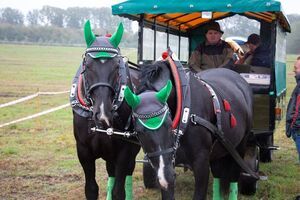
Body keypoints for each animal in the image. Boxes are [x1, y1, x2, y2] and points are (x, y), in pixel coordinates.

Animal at [71, 20, 140, 200]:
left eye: (116, 66)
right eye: (87, 65)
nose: (103, 113)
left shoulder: (124, 150)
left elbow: (118, 191)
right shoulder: (83, 151)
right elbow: (91, 189)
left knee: (128, 170)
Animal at [125, 61, 254, 200]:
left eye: (169, 124)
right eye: (138, 132)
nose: (166, 176)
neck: (184, 112)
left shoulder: (201, 164)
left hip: (240, 146)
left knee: (234, 176)